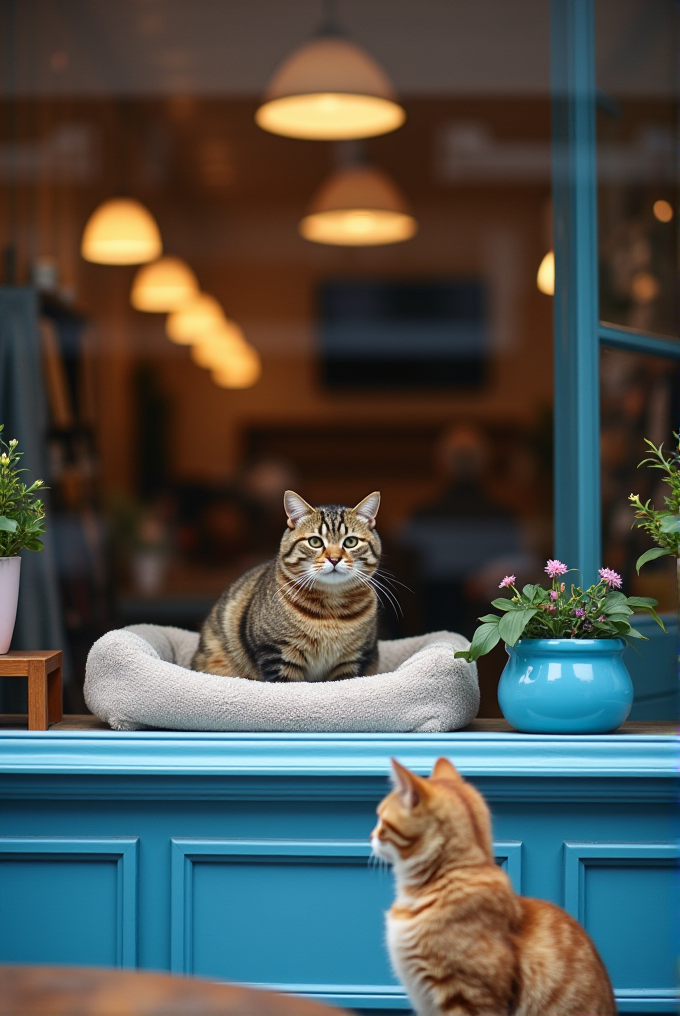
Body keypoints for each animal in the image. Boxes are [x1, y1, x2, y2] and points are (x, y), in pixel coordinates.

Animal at [191, 489, 382, 682]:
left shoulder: (354, 658)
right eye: (315, 542)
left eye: (351, 542)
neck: (331, 607)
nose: (334, 559)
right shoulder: (277, 653)